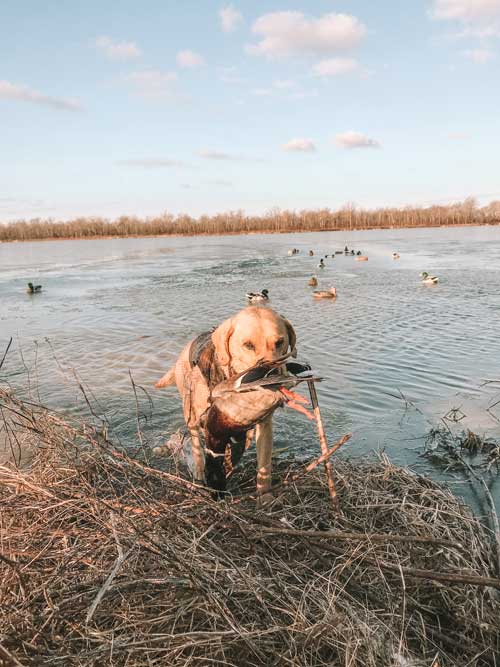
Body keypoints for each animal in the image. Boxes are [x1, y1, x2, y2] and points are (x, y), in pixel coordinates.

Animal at [155, 306, 296, 498]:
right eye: (248, 345)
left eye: (280, 342)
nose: (273, 373)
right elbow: (203, 453)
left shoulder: (265, 426)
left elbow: (264, 465)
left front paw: (265, 496)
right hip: (191, 414)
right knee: (197, 448)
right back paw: (199, 477)